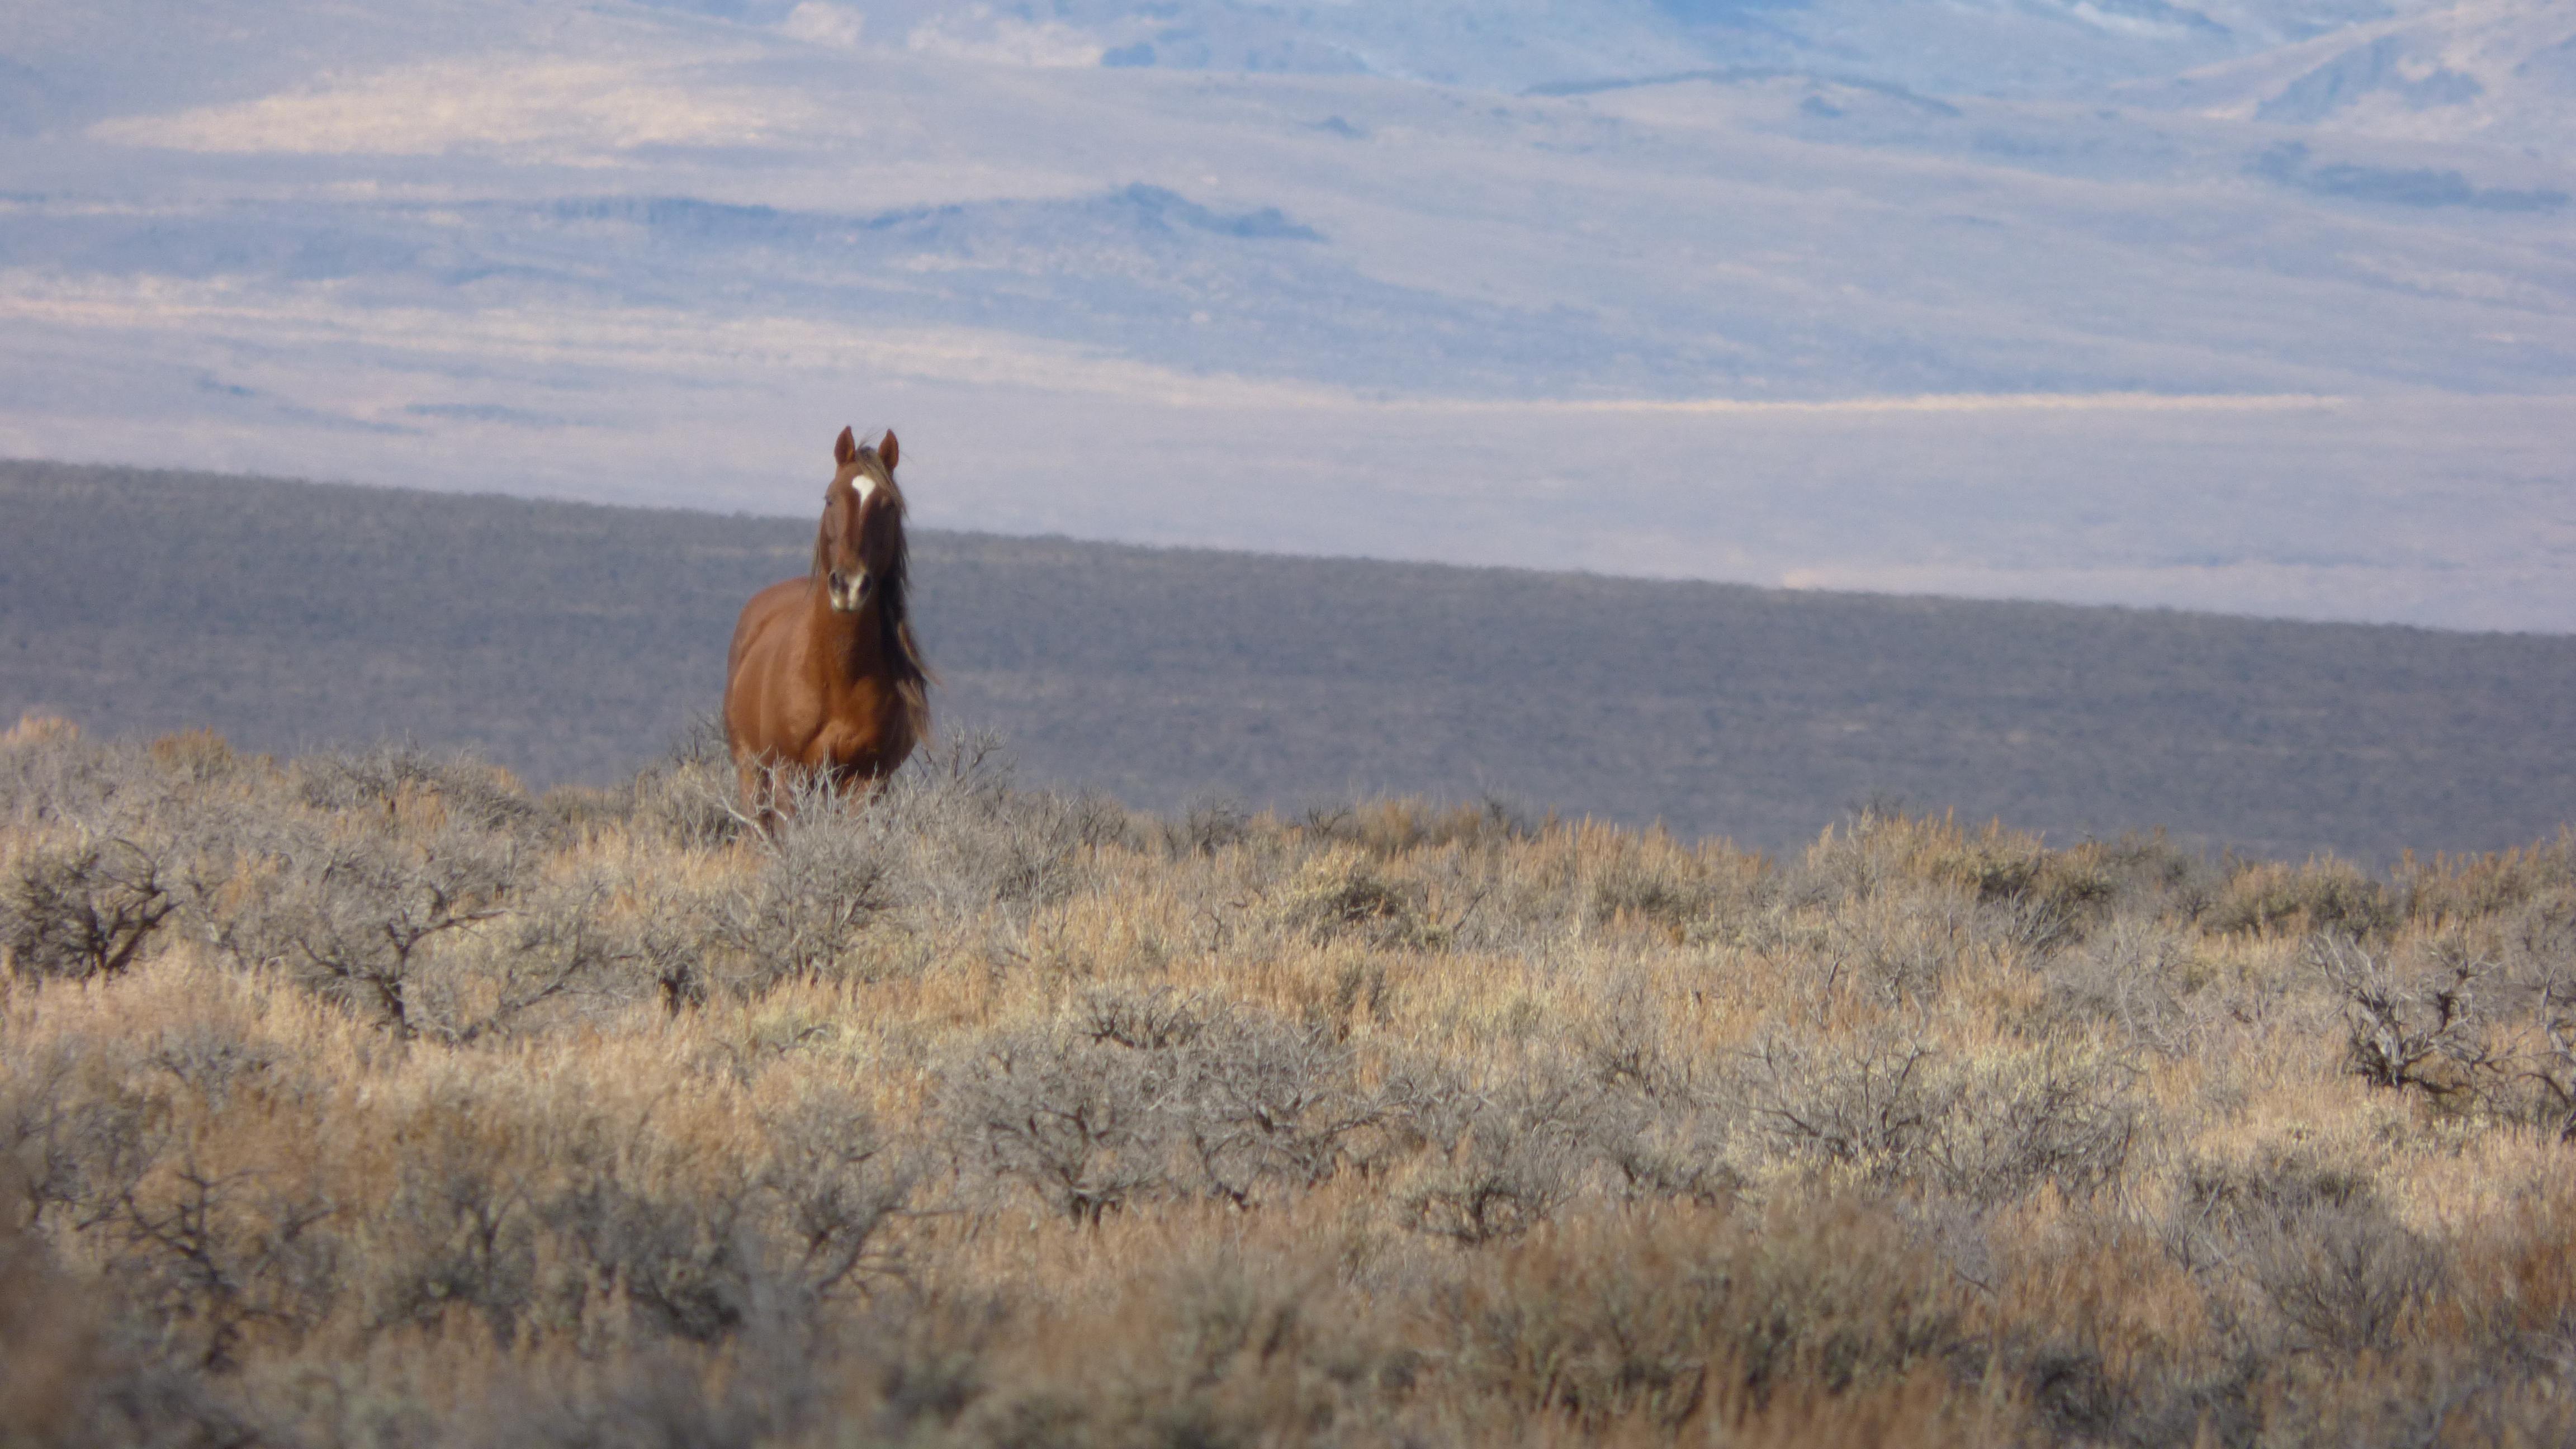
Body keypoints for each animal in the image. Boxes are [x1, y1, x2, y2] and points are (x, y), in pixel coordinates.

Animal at [722, 425, 932, 821]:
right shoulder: (788, 774)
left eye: (889, 505)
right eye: (830, 498)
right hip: (751, 770)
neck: (837, 674)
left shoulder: (867, 780)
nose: (849, 585)